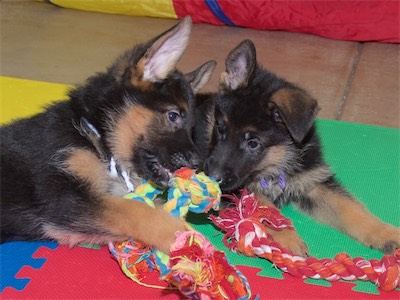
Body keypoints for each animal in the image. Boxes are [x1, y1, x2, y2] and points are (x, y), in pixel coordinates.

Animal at [0, 17, 219, 253]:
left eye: (192, 128)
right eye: (173, 116)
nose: (198, 165)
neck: (94, 134)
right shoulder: (65, 202)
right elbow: (136, 210)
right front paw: (187, 239)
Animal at [193, 39, 396, 255]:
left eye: (253, 143)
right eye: (220, 128)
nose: (210, 177)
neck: (277, 161)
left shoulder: (314, 182)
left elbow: (350, 208)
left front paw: (385, 232)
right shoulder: (237, 191)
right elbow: (263, 207)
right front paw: (287, 237)